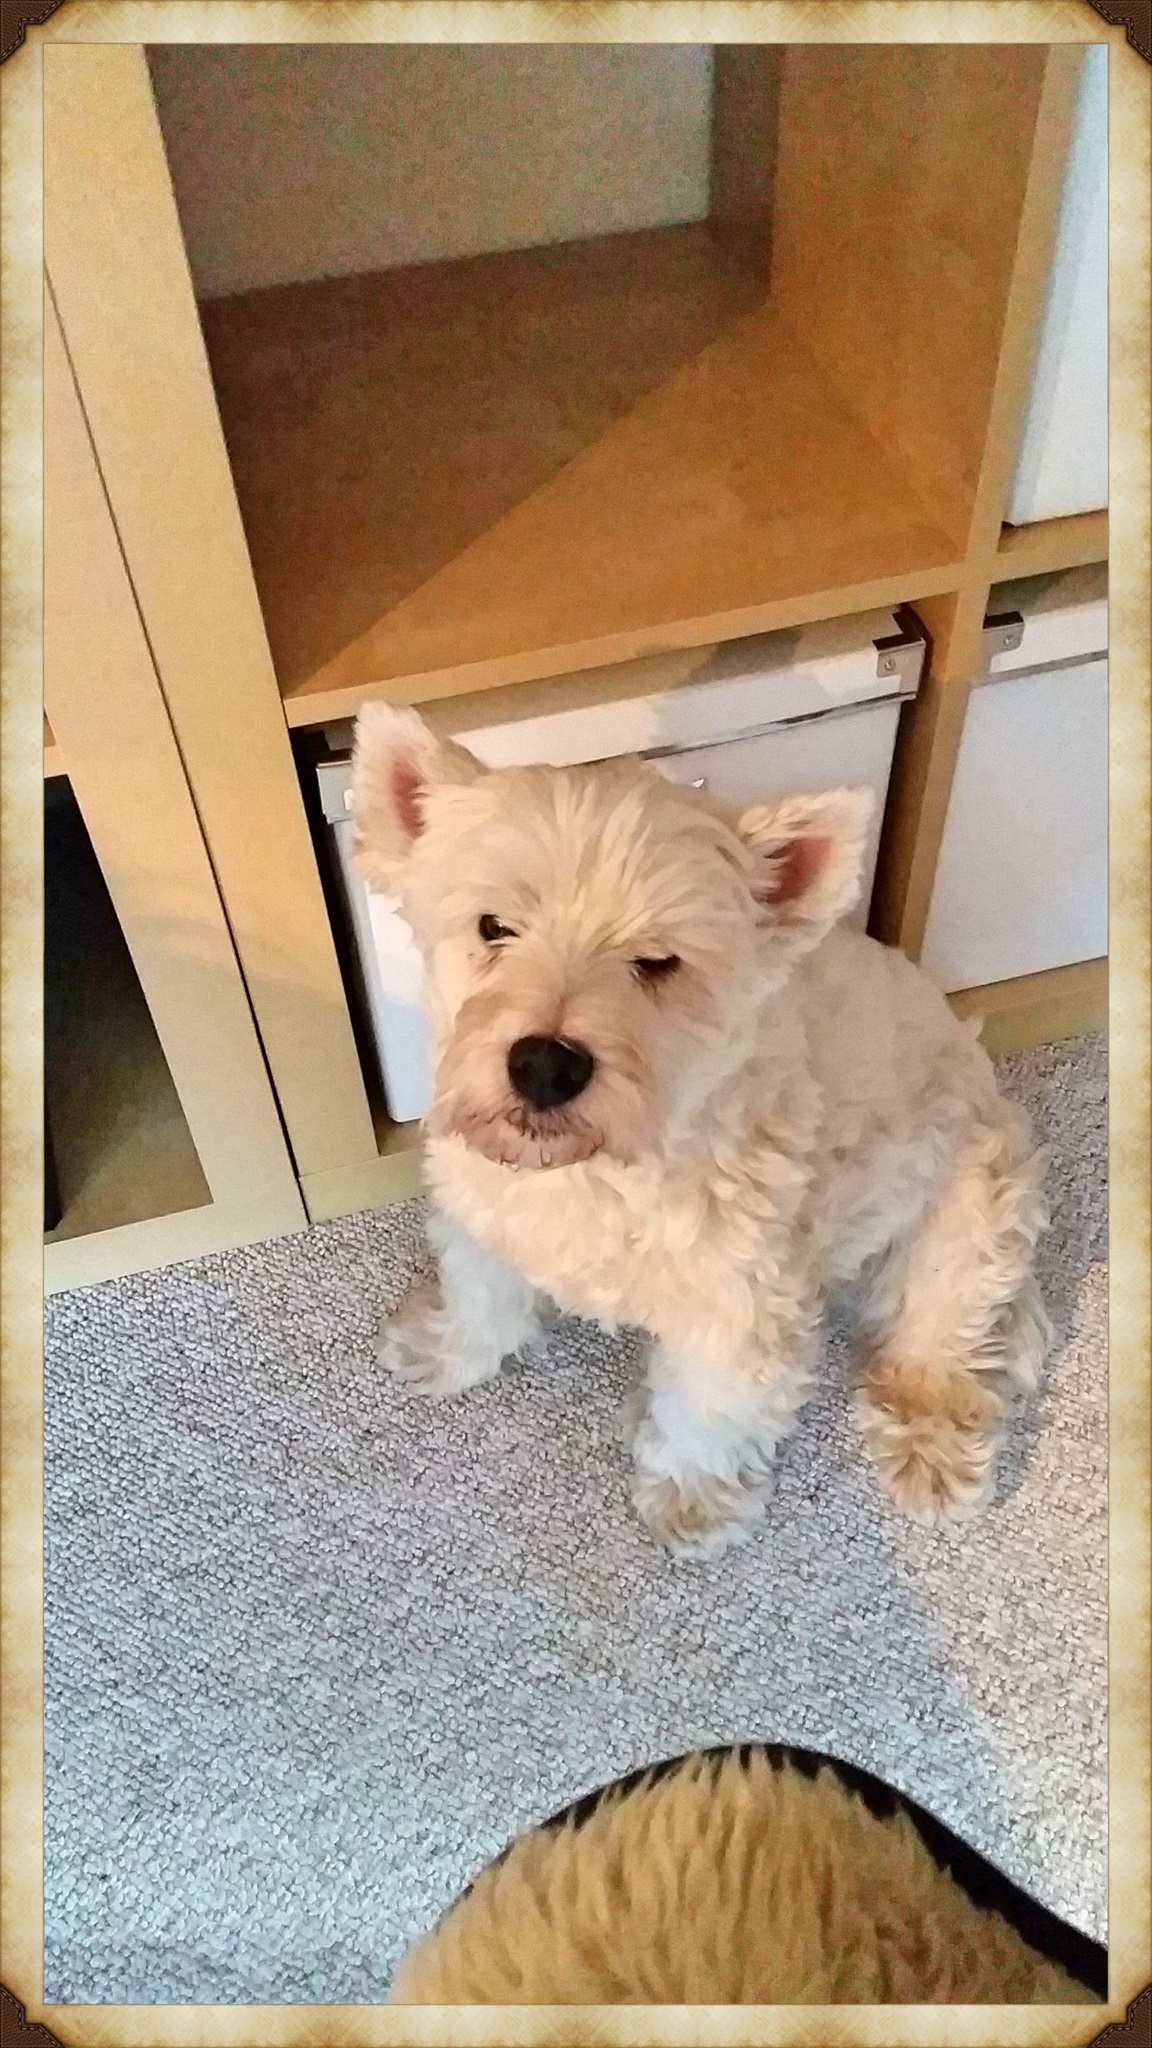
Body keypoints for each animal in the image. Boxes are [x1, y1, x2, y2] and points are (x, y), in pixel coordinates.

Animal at [351, 703, 1049, 1560]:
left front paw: (691, 1499)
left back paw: (931, 1448)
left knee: (942, 1344)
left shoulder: (740, 1303)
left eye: (657, 963)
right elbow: (483, 1292)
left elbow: (710, 1409)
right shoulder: (483, 1211)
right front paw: (450, 1351)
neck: (599, 1168)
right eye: (494, 926)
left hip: (966, 1217)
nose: (545, 1066)